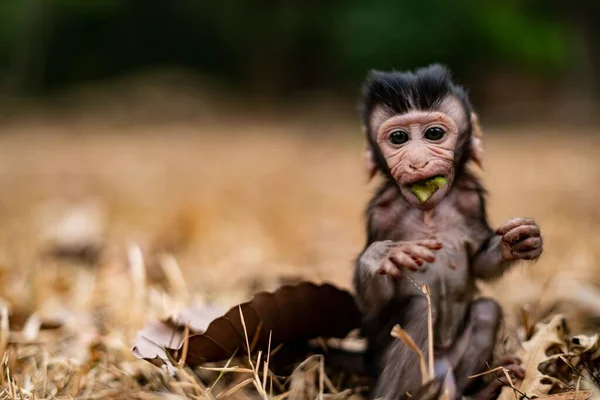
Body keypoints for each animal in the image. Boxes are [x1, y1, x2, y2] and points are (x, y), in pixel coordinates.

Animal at [354, 64, 540, 398]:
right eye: (398, 138)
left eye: (434, 134)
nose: (417, 162)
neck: (429, 213)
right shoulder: (380, 212)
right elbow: (371, 308)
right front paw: (380, 257)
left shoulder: (470, 200)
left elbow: (480, 263)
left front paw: (519, 242)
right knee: (418, 310)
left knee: (486, 311)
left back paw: (483, 387)